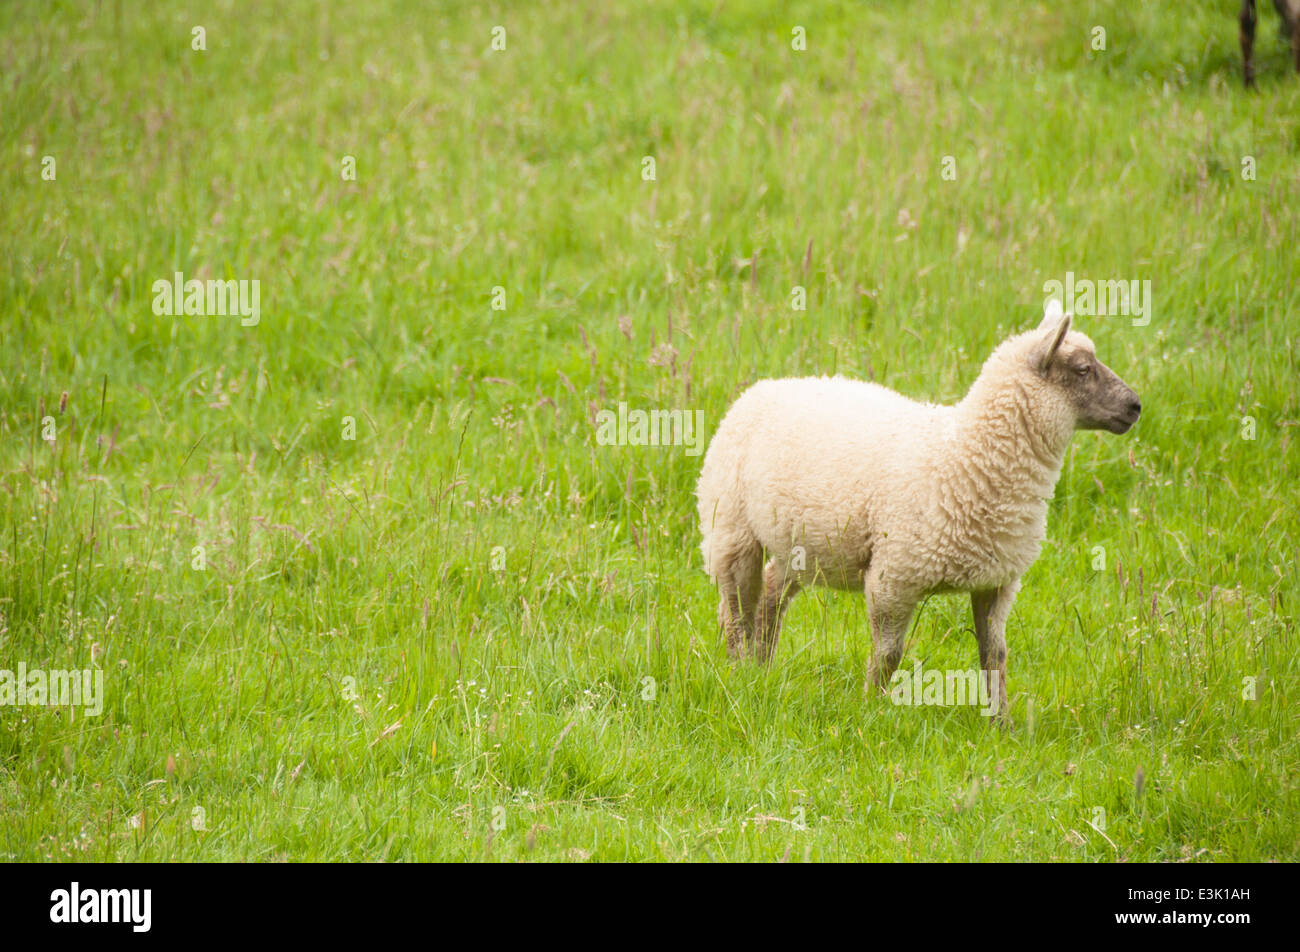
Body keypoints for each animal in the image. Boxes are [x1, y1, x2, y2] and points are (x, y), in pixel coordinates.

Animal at [695, 302, 1141, 719]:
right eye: (1083, 369)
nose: (1136, 406)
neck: (967, 453)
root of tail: (764, 387)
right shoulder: (893, 577)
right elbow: (889, 654)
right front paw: (871, 709)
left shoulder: (997, 582)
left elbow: (995, 656)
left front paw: (1002, 723)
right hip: (731, 531)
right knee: (735, 613)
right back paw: (739, 673)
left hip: (798, 543)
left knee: (770, 595)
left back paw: (762, 668)